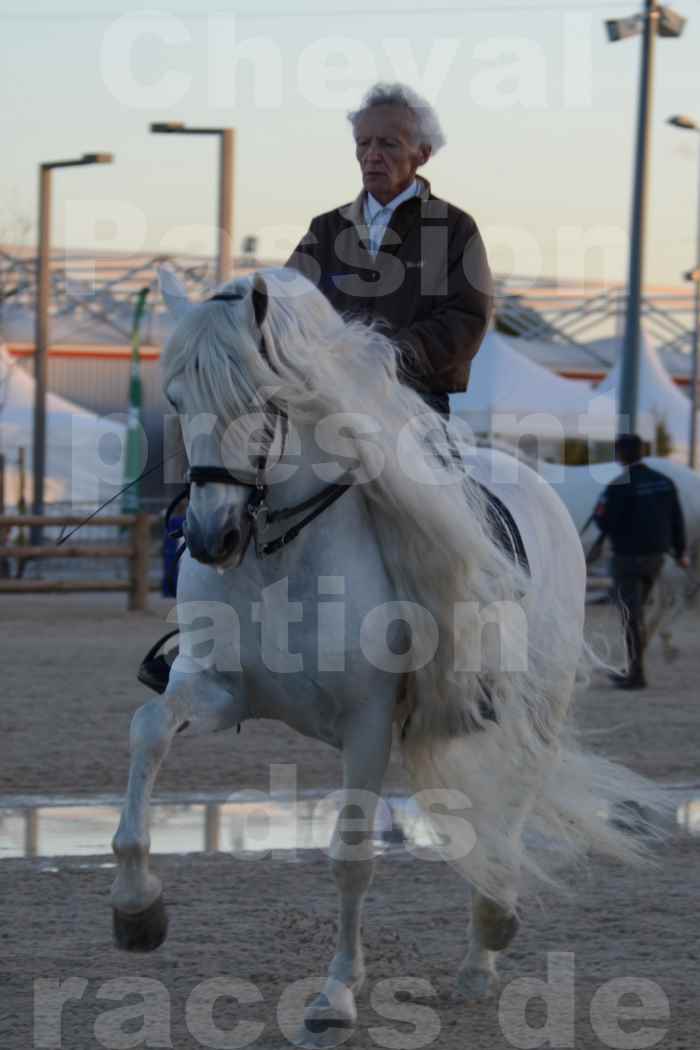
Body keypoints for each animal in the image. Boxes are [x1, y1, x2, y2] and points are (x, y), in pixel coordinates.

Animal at [110, 268, 663, 1041]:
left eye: (264, 399)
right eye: (175, 399)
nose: (212, 538)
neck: (278, 557)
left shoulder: (367, 723)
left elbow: (351, 856)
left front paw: (335, 996)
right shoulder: (218, 688)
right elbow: (148, 731)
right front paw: (137, 909)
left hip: (534, 708)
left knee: (512, 803)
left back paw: (488, 938)